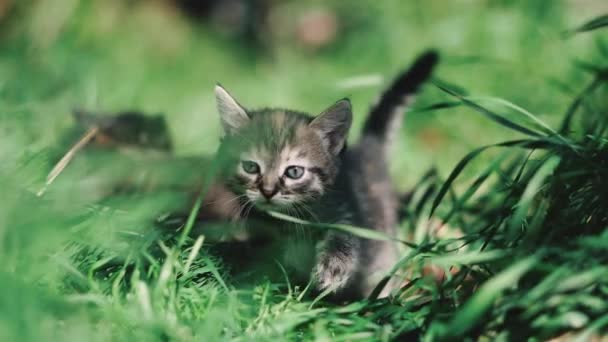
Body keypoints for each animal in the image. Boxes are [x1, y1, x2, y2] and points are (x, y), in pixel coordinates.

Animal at [213, 50, 436, 300]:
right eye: (251, 167)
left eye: (294, 172)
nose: (268, 191)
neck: (288, 221)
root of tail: (367, 147)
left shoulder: (347, 212)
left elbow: (343, 236)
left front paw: (332, 268)